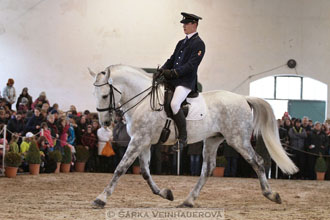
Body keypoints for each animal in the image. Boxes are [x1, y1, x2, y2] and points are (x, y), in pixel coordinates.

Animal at [89, 65, 298, 208]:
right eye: (94, 94)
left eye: (105, 95)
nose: (105, 122)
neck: (143, 101)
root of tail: (244, 98)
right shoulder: (144, 141)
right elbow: (145, 172)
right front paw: (165, 193)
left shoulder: (139, 140)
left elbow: (120, 168)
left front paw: (101, 198)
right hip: (213, 139)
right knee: (208, 168)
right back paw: (188, 200)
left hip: (238, 140)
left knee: (258, 162)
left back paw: (271, 194)